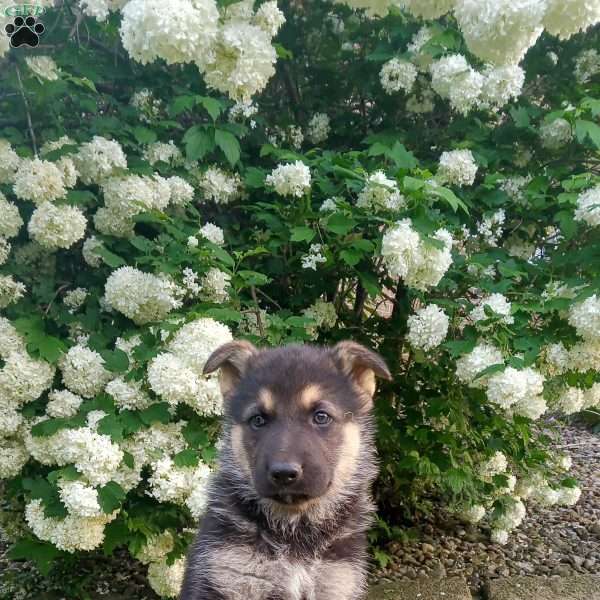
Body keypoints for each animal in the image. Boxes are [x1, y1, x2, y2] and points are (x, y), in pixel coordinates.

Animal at [180, 340, 392, 596]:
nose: (283, 473)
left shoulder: (336, 581)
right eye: (258, 420)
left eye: (321, 417)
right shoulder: (228, 573)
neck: (294, 531)